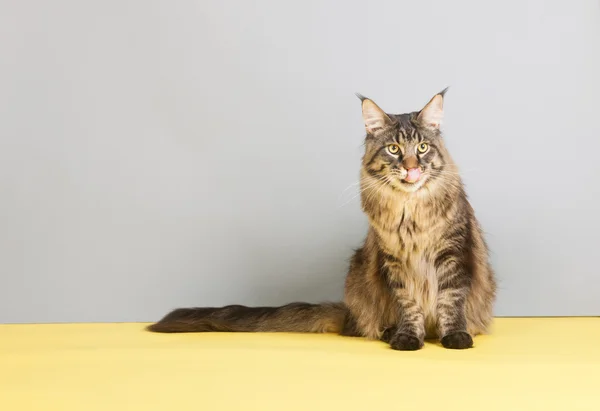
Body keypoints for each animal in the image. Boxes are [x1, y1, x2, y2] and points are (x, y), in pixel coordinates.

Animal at [149, 89, 496, 350]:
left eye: (422, 147)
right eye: (394, 149)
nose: (412, 168)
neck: (409, 211)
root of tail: (348, 312)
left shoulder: (453, 253)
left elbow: (450, 299)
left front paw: (456, 337)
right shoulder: (395, 261)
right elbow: (408, 304)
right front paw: (408, 337)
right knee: (363, 326)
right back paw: (387, 331)